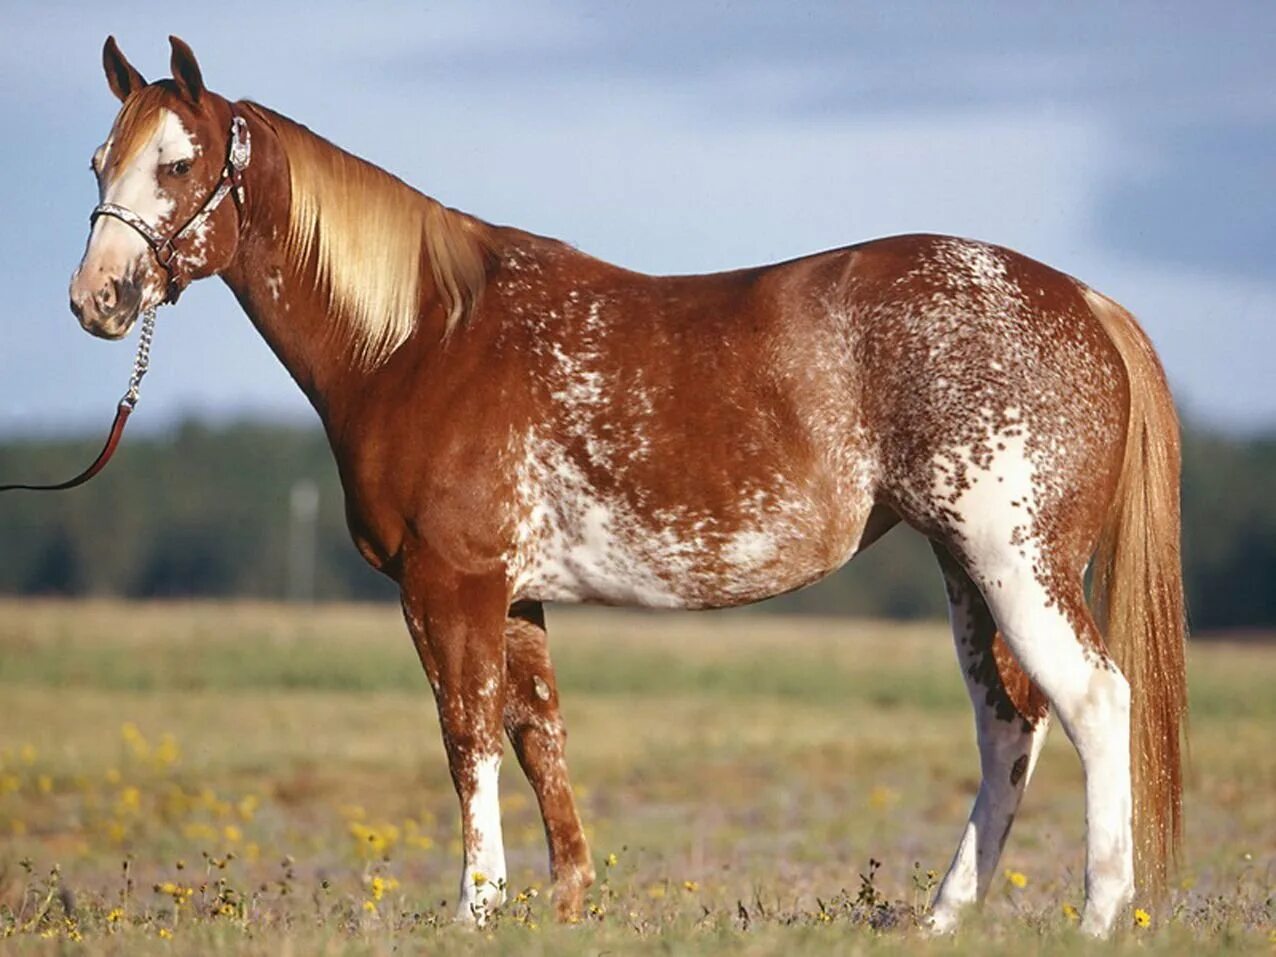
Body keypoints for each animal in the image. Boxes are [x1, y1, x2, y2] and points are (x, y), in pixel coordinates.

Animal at [69, 35, 1184, 939]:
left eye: (178, 163)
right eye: (98, 161)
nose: (97, 299)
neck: (422, 339)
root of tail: (1082, 300)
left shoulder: (449, 586)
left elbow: (466, 737)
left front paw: (477, 909)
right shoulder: (515, 595)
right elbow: (538, 741)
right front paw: (565, 906)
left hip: (1017, 563)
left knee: (1094, 702)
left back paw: (1097, 916)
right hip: (966, 569)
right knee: (1008, 726)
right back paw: (945, 916)